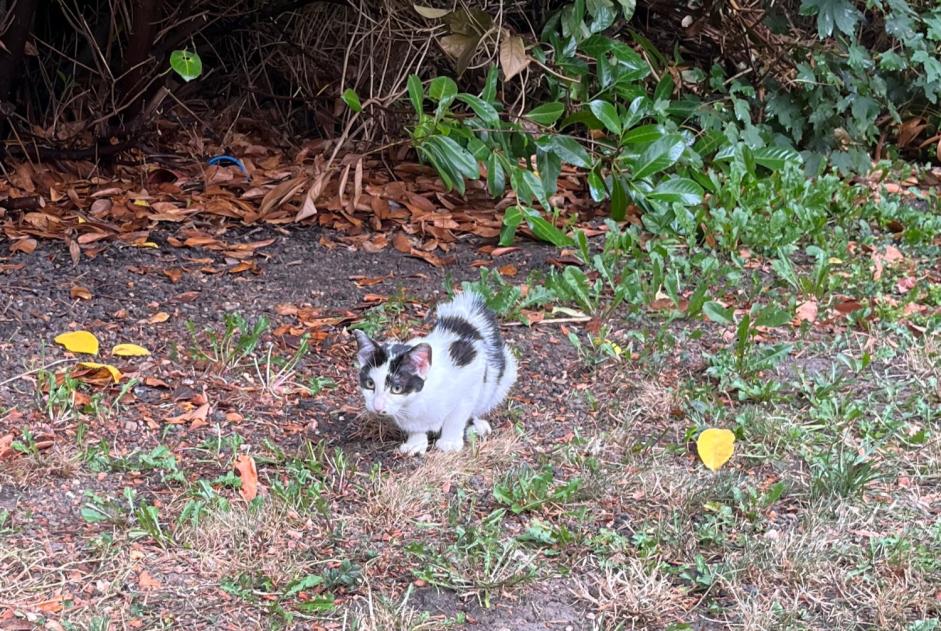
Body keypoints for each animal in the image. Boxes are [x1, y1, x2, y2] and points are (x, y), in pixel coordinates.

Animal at [352, 292, 516, 454]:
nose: (377, 407)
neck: (414, 404)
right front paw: (415, 443)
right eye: (370, 384)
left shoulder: (472, 370)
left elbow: (457, 415)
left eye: (397, 388)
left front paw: (450, 442)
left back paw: (477, 426)